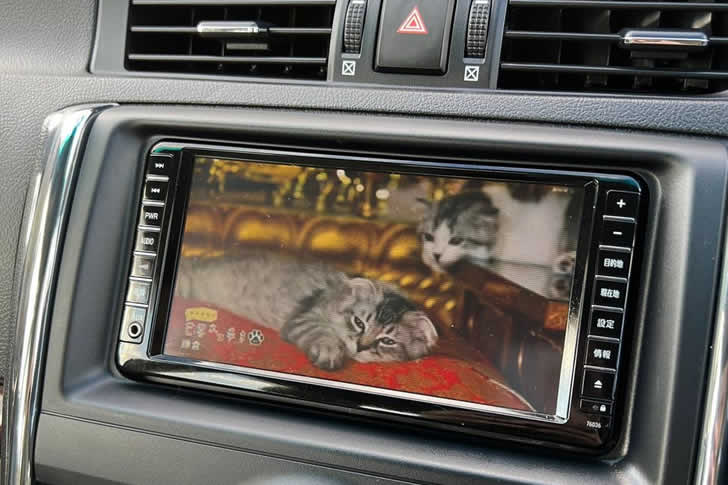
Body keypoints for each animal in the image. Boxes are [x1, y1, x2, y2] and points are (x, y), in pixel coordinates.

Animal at [175, 251, 438, 371]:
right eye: (359, 322)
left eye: (388, 341)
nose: (361, 347)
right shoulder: (304, 316)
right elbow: (323, 334)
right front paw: (330, 352)